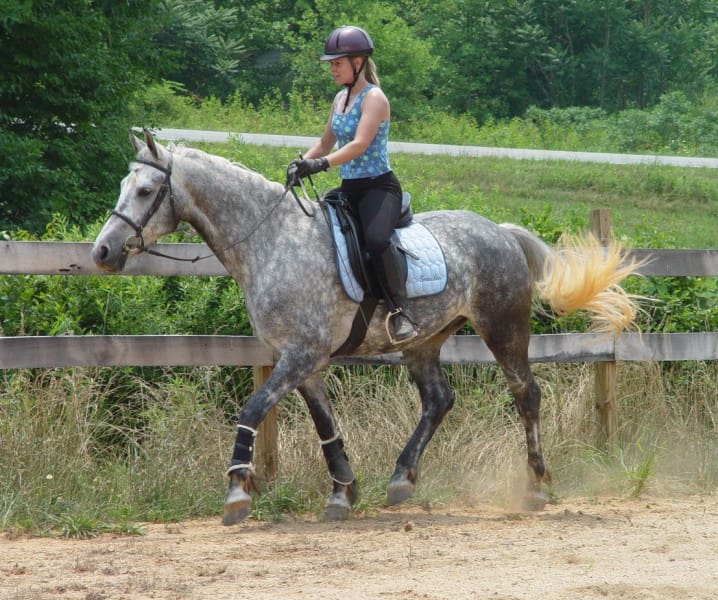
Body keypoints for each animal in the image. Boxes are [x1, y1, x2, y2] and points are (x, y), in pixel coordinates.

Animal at [91, 129, 640, 524]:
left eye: (146, 190)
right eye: (122, 187)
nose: (102, 252)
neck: (271, 241)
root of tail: (499, 231)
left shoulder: (301, 355)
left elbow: (251, 410)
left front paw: (235, 493)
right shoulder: (302, 361)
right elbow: (326, 426)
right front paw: (343, 493)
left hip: (503, 329)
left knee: (526, 394)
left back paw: (537, 485)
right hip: (423, 341)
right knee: (438, 400)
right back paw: (401, 479)